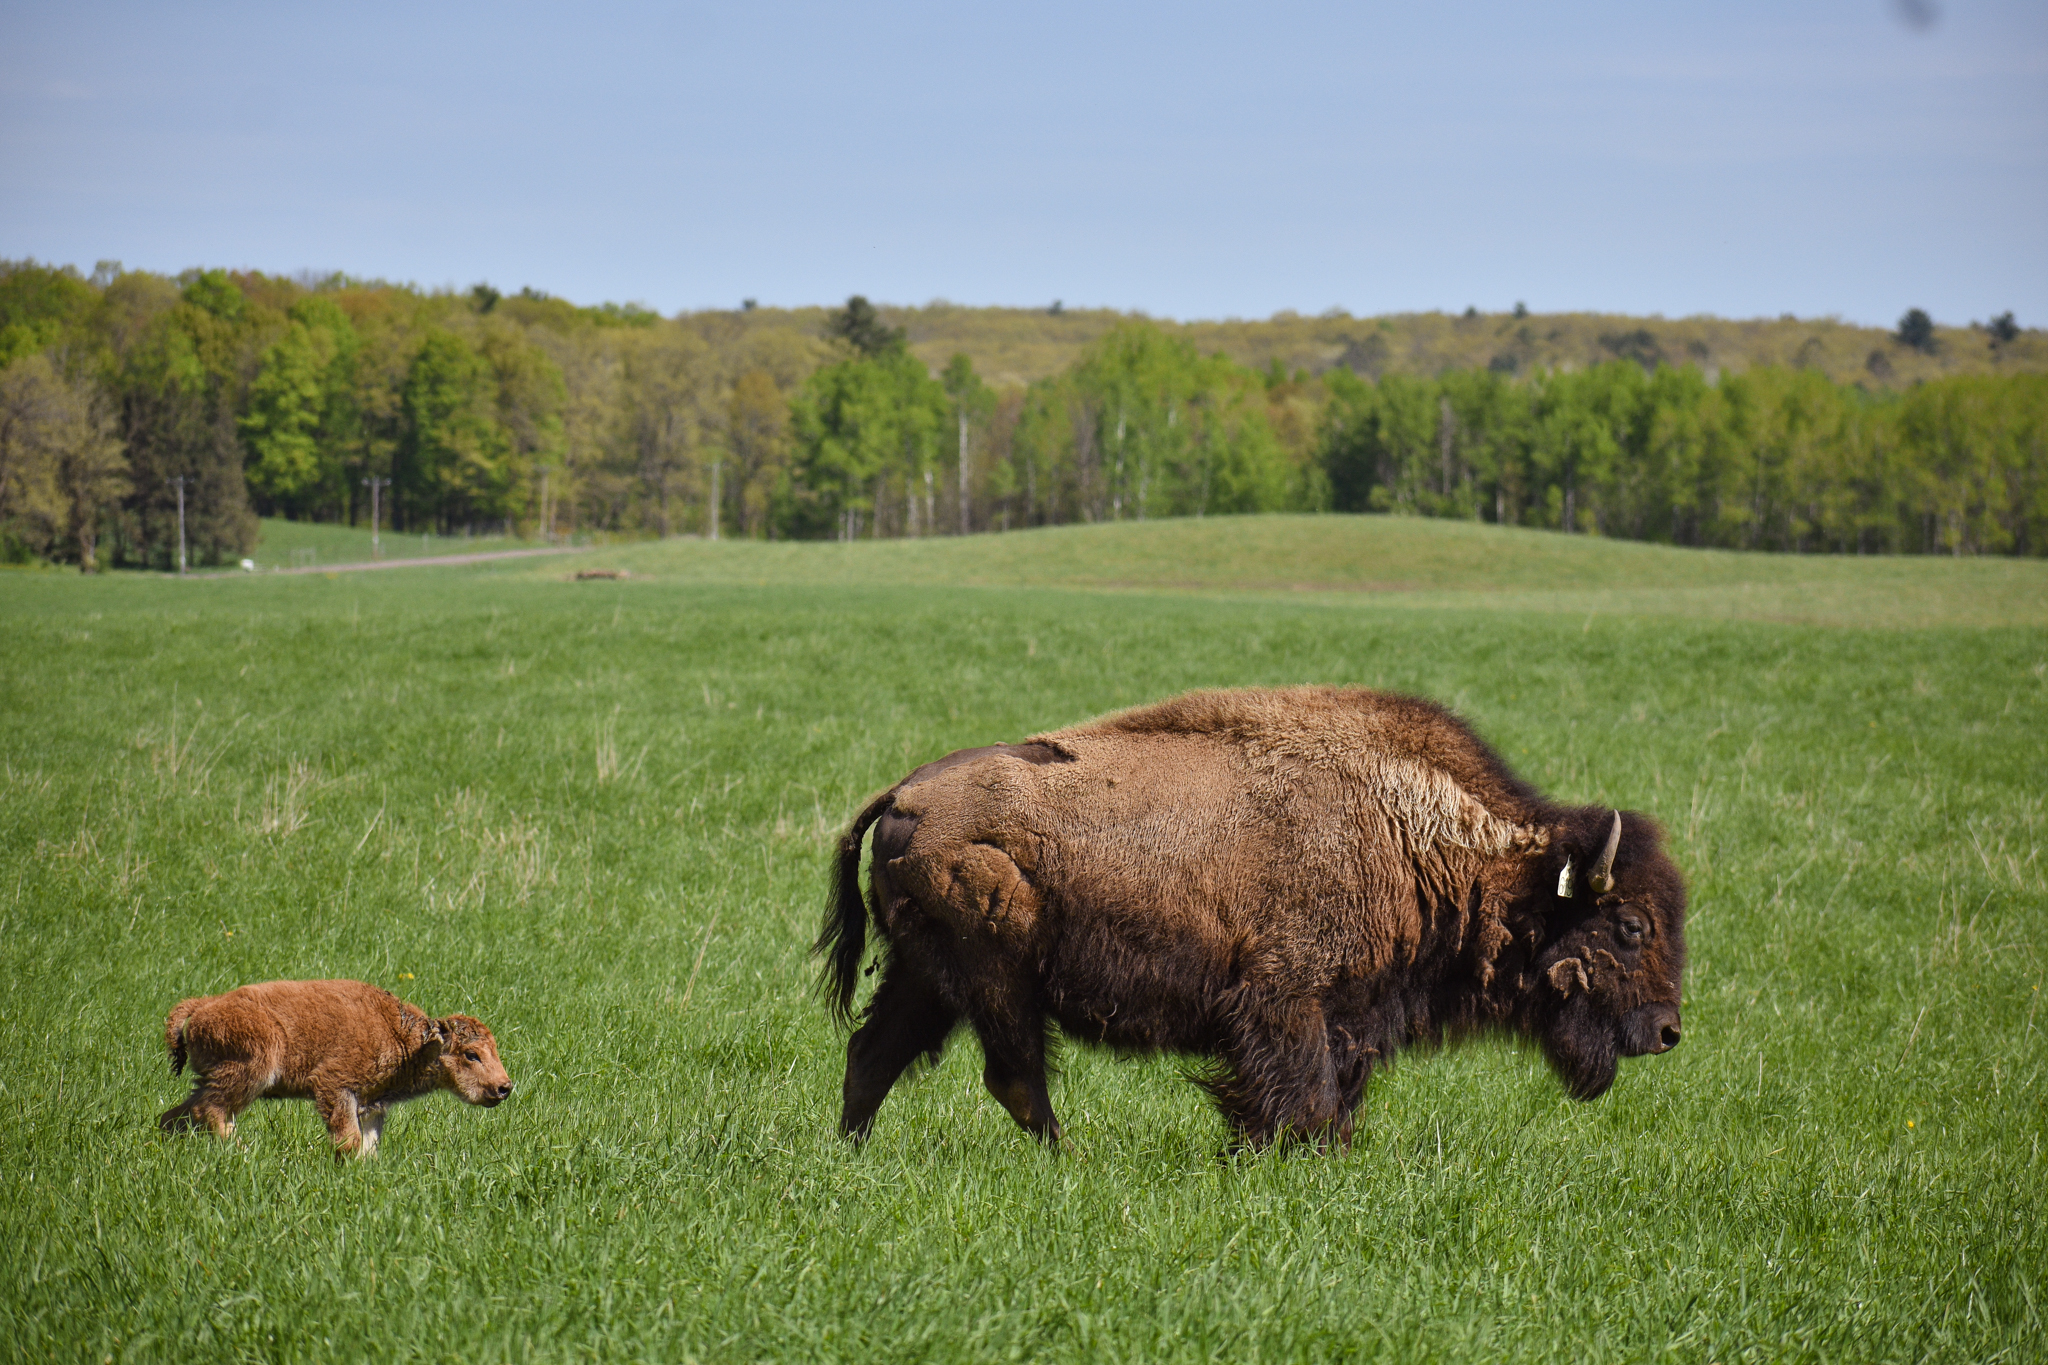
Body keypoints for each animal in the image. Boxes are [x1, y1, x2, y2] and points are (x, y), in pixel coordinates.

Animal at [159, 978, 512, 1162]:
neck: (404, 1038)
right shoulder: (336, 1088)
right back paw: (248, 1152)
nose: (504, 1087)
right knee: (211, 1110)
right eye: (472, 1055)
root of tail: (203, 1005)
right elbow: (349, 1139)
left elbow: (368, 1143)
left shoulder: (371, 1104)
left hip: (212, 1078)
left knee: (177, 1114)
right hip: (249, 1073)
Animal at [815, 687, 1679, 1146]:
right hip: (996, 974)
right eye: (1631, 925)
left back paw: (853, 1153)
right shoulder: (1285, 1004)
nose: (1669, 1030)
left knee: (874, 1053)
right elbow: (1303, 1096)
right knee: (1015, 1075)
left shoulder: (1348, 1019)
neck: (1415, 833)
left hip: (925, 975)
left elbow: (1330, 1095)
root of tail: (905, 794)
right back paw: (1069, 1162)